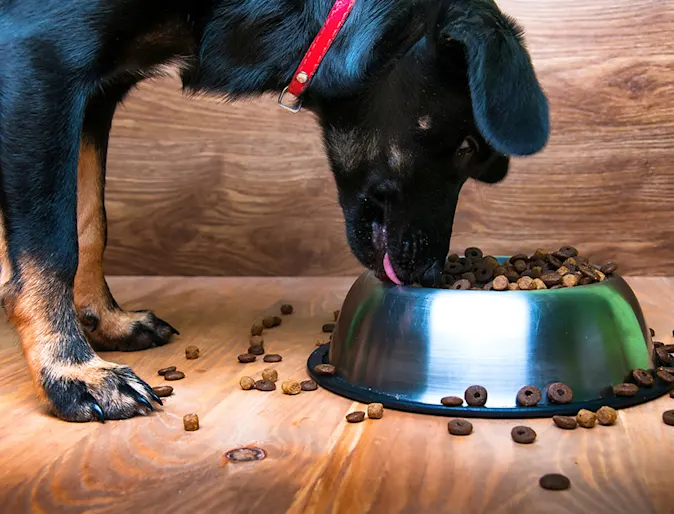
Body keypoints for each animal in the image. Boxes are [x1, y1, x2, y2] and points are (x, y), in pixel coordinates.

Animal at [0, 0, 544, 420]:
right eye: (468, 146)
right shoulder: (40, 61)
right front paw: (72, 372)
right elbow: (54, 244)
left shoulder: (96, 93)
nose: (431, 275)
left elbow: (91, 221)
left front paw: (103, 319)